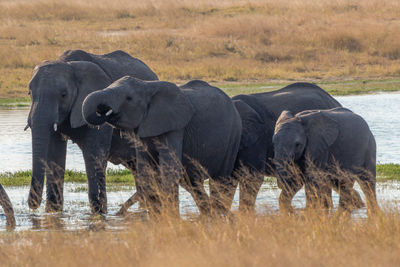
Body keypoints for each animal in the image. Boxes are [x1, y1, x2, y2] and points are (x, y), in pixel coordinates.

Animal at [25, 49, 158, 215]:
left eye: (63, 95)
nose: (33, 205)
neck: (69, 65)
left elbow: (94, 153)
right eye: (30, 93)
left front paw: (99, 213)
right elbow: (54, 153)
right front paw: (53, 212)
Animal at [81, 78, 241, 218]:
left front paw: (170, 217)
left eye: (128, 98)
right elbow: (146, 171)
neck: (147, 86)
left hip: (233, 136)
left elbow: (169, 169)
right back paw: (209, 213)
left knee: (221, 181)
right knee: (192, 182)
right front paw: (156, 217)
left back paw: (219, 214)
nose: (102, 110)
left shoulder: (176, 127)